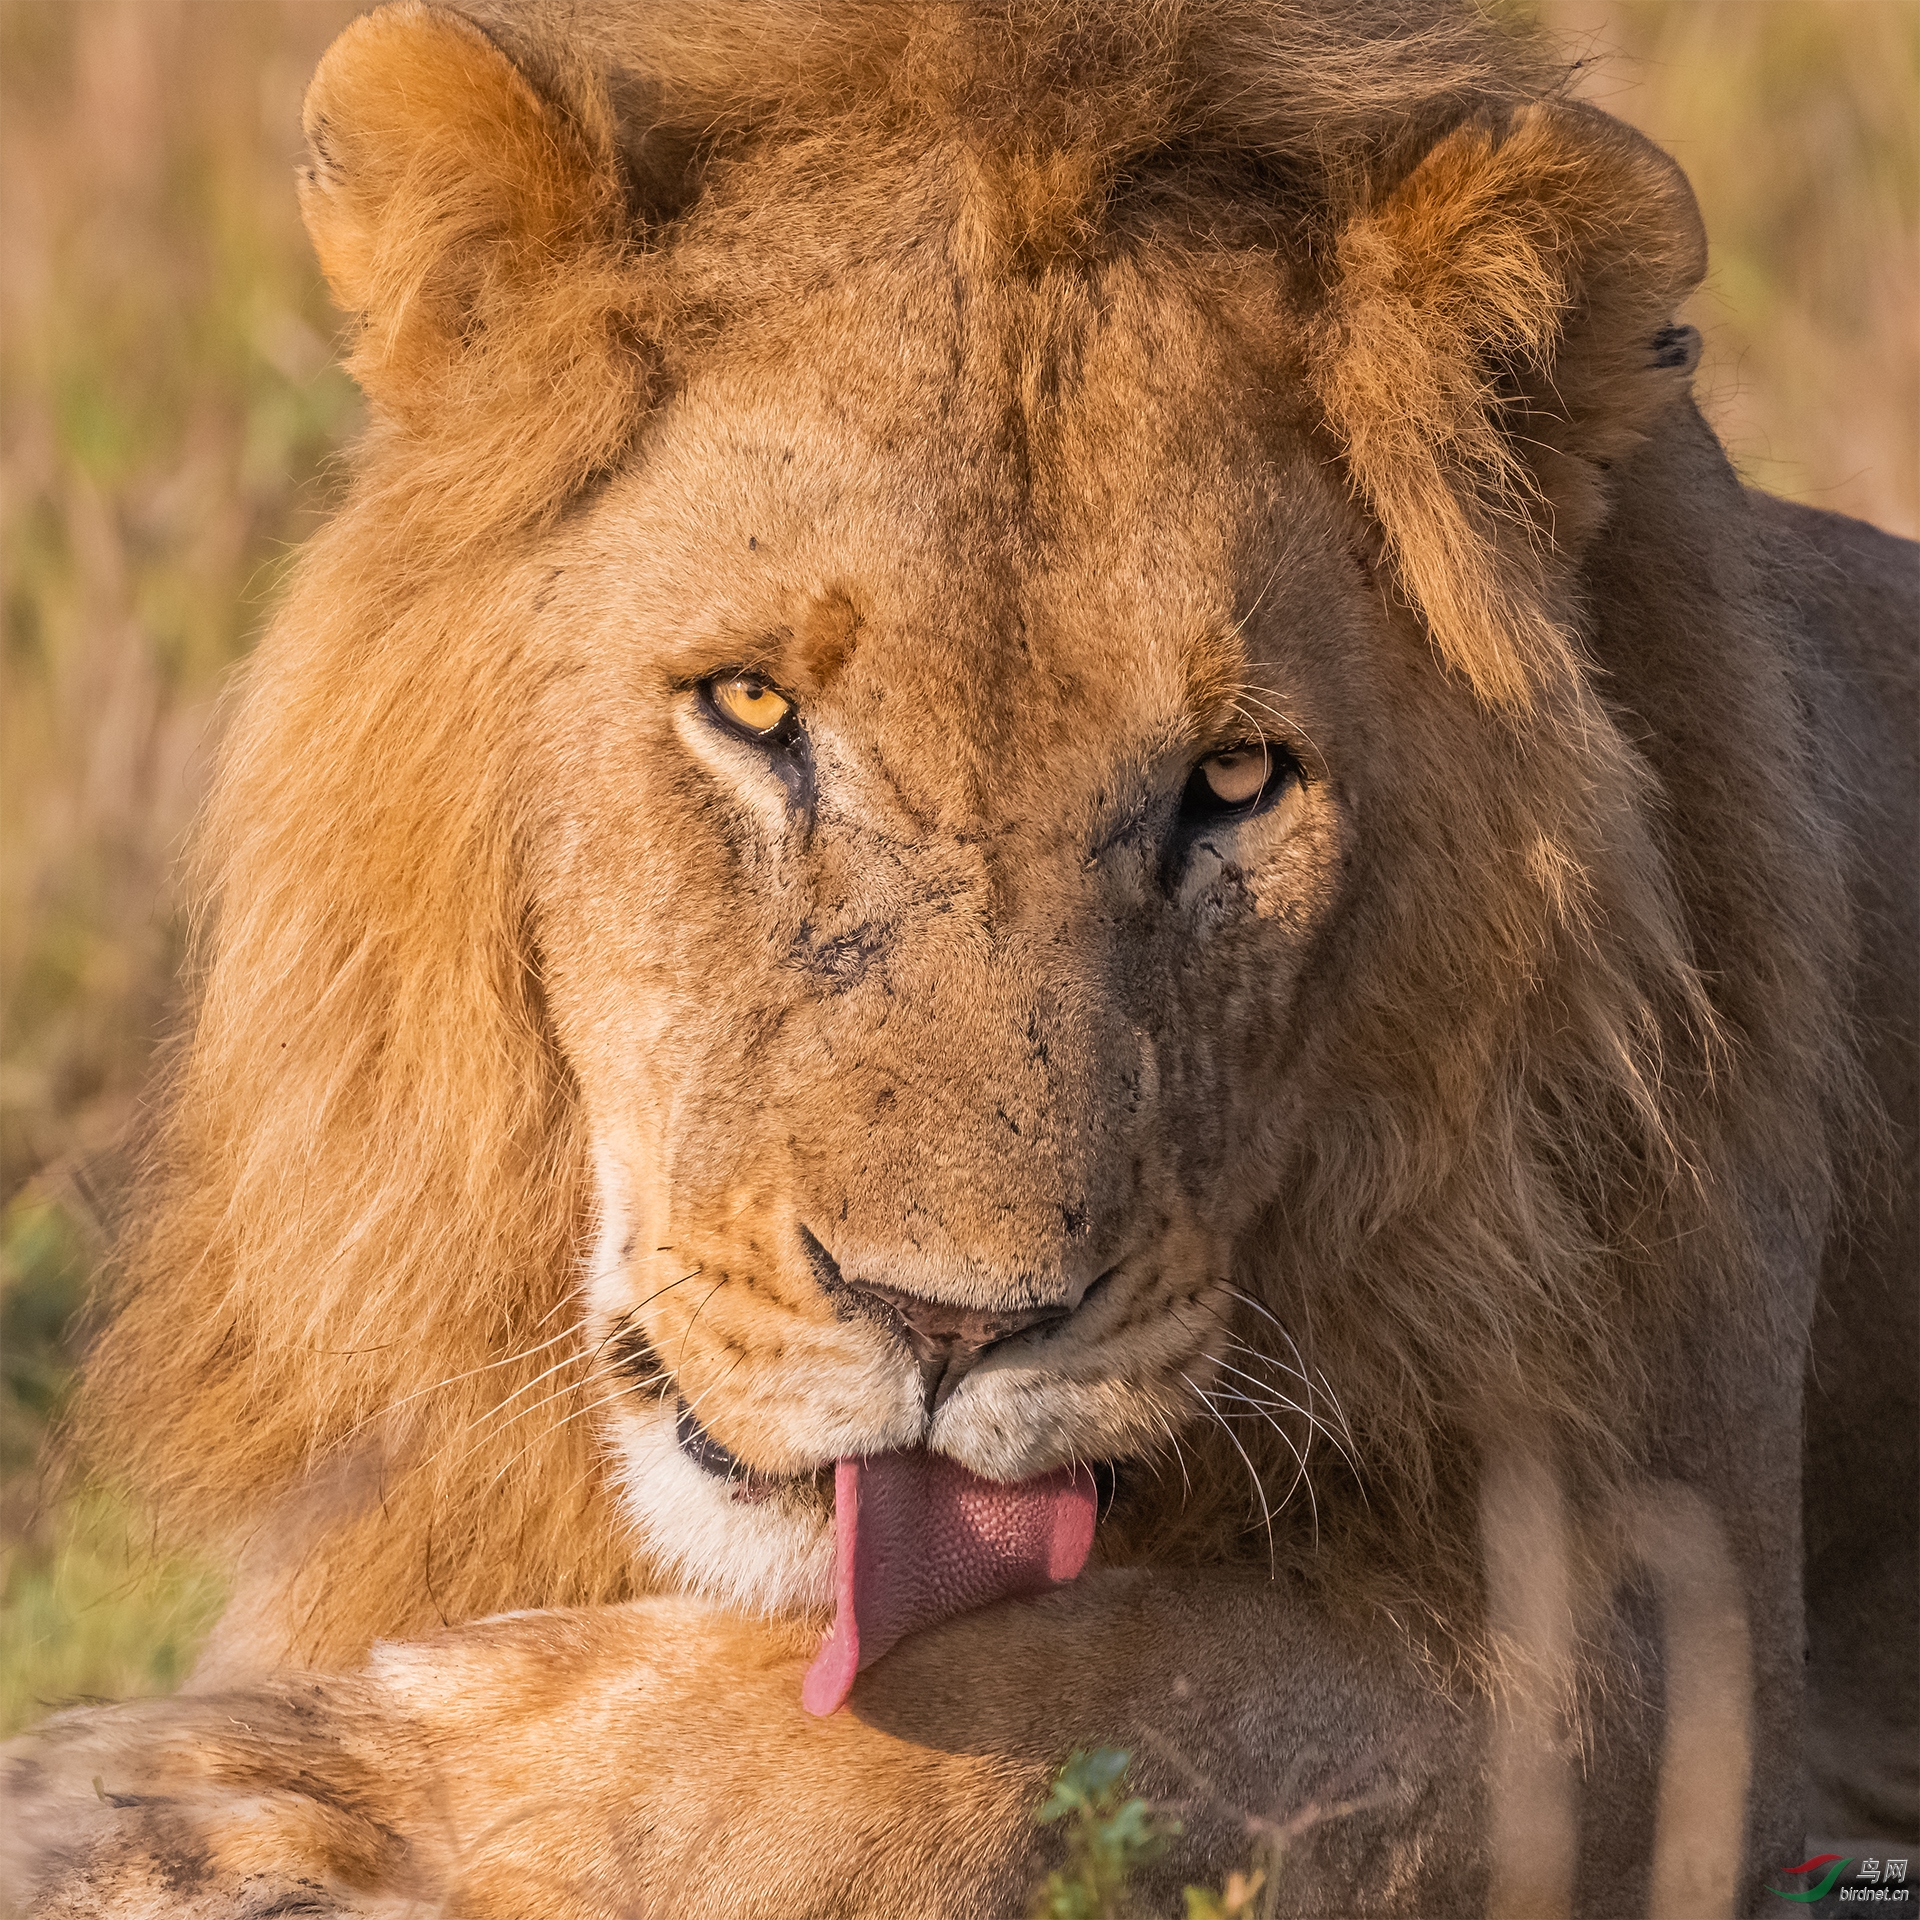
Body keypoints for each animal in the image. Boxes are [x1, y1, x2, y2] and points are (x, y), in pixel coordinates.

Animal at [3, 3, 1920, 1920]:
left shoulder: (1687, 1657)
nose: (949, 1327)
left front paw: (224, 1801)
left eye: (1236, 781)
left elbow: (1051, 1699)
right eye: (753, 705)